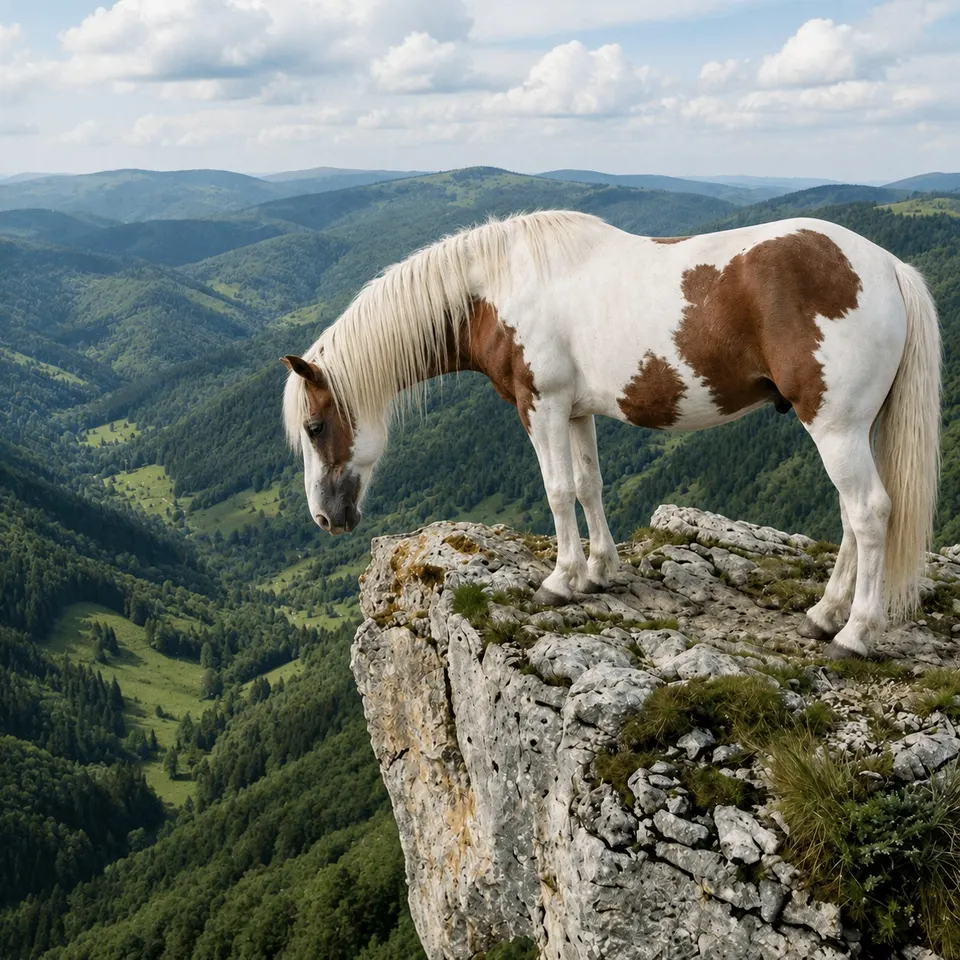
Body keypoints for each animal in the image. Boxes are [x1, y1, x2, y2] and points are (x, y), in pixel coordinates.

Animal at [281, 210, 941, 660]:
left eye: (315, 427)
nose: (325, 518)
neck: (495, 287)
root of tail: (889, 267)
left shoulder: (541, 406)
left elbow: (557, 491)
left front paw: (560, 580)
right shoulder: (575, 412)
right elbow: (589, 485)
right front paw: (599, 571)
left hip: (835, 426)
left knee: (869, 513)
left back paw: (855, 633)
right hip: (852, 429)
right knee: (852, 516)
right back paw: (825, 614)